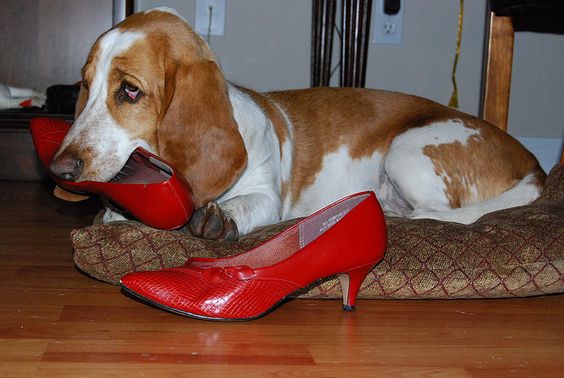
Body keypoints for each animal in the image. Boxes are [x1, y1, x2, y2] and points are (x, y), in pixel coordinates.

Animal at [50, 8, 544, 242]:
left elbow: (242, 205)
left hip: (408, 150)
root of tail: (532, 165)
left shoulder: (266, 196)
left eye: (130, 91)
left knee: (439, 217)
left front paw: (220, 218)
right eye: (85, 84)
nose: (59, 169)